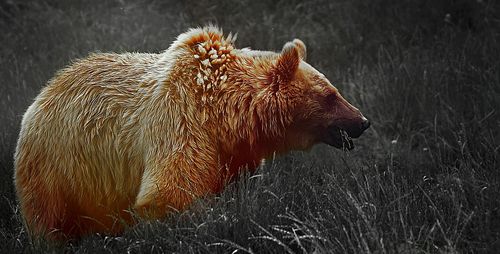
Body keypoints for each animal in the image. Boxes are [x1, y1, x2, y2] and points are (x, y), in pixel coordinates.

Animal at [12, 26, 372, 242]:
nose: (363, 121)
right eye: (330, 95)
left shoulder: (230, 154)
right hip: (57, 166)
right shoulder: (181, 119)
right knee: (48, 221)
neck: (226, 113)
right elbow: (170, 191)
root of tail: (41, 94)